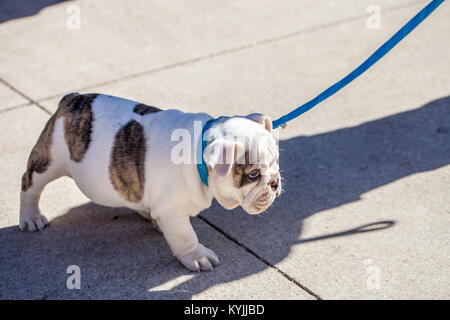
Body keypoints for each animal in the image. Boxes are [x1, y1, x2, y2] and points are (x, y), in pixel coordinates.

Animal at [22, 93, 282, 272]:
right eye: (253, 174)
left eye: (276, 162)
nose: (275, 183)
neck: (197, 152)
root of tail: (71, 98)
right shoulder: (172, 210)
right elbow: (185, 235)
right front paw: (197, 256)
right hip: (49, 161)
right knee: (30, 185)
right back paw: (31, 217)